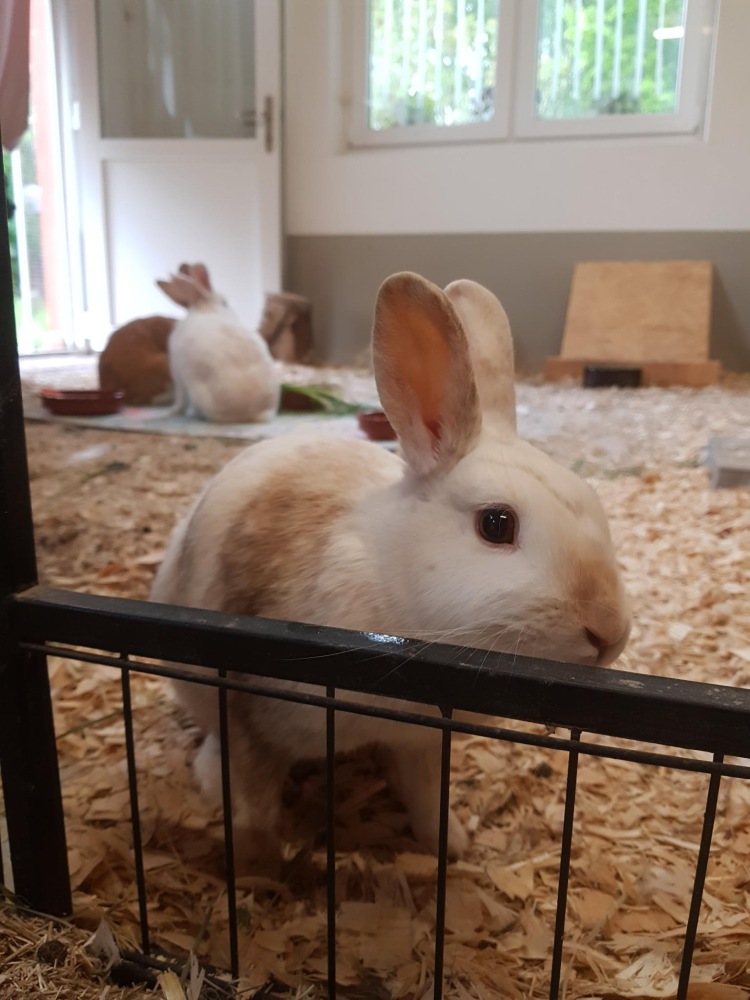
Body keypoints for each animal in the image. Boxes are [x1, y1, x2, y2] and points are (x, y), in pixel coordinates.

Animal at [155, 263, 280, 423]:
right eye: (225, 302)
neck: (207, 309)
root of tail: (255, 413)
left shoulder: (177, 375)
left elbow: (179, 401)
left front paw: (173, 412)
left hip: (196, 392)